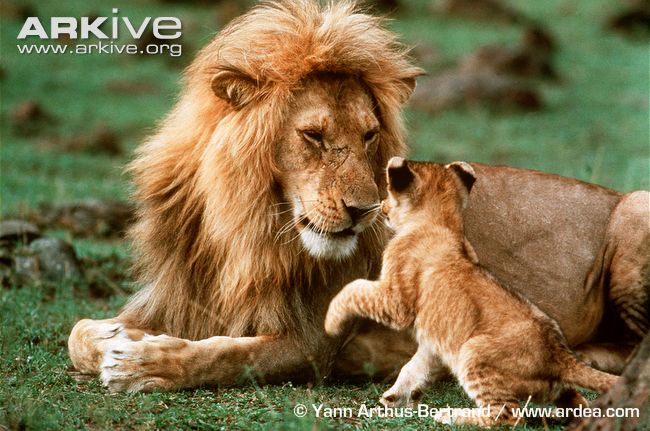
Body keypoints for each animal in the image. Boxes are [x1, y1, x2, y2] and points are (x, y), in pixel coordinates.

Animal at [68, 0, 649, 392]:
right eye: (313, 136)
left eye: (370, 135)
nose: (366, 210)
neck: (242, 226)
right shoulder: (181, 298)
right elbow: (78, 333)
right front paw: (113, 337)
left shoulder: (313, 341)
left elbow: (225, 357)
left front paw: (142, 364)